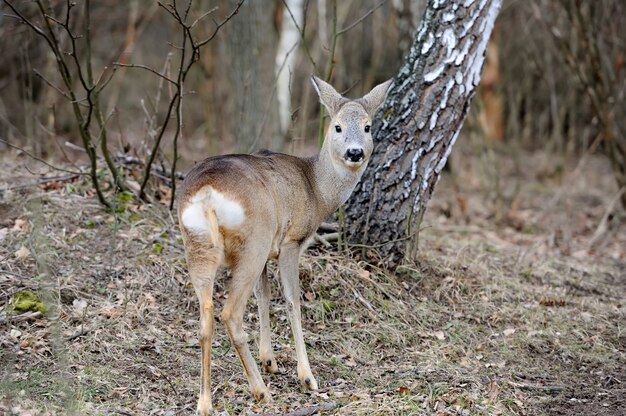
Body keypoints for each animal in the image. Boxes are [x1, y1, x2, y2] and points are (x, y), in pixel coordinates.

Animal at [177, 76, 390, 414]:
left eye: (368, 126)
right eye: (338, 126)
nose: (355, 153)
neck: (316, 189)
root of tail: (207, 195)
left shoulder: (270, 251)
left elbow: (264, 297)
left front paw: (270, 361)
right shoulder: (291, 241)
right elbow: (292, 302)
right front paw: (306, 377)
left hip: (199, 245)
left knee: (206, 315)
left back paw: (205, 402)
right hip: (253, 240)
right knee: (230, 314)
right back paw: (261, 393)